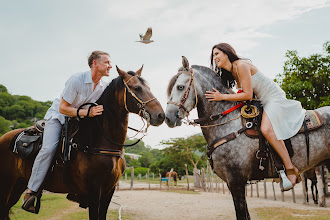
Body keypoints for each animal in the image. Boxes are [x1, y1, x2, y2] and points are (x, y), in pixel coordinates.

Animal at [0, 66, 165, 219]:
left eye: (148, 88)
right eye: (137, 88)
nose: (160, 115)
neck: (98, 142)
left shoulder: (108, 192)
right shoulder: (94, 192)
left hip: (18, 185)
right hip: (6, 186)